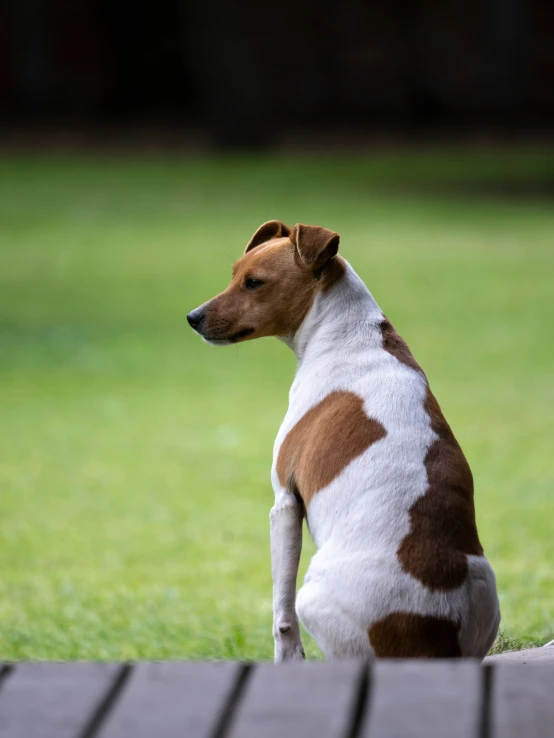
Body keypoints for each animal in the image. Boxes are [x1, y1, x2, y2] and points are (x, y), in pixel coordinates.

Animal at [188, 220, 498, 660]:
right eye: (233, 274)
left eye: (254, 282)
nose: (192, 317)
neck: (347, 336)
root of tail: (434, 636)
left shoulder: (285, 502)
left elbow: (281, 618)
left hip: (313, 598)